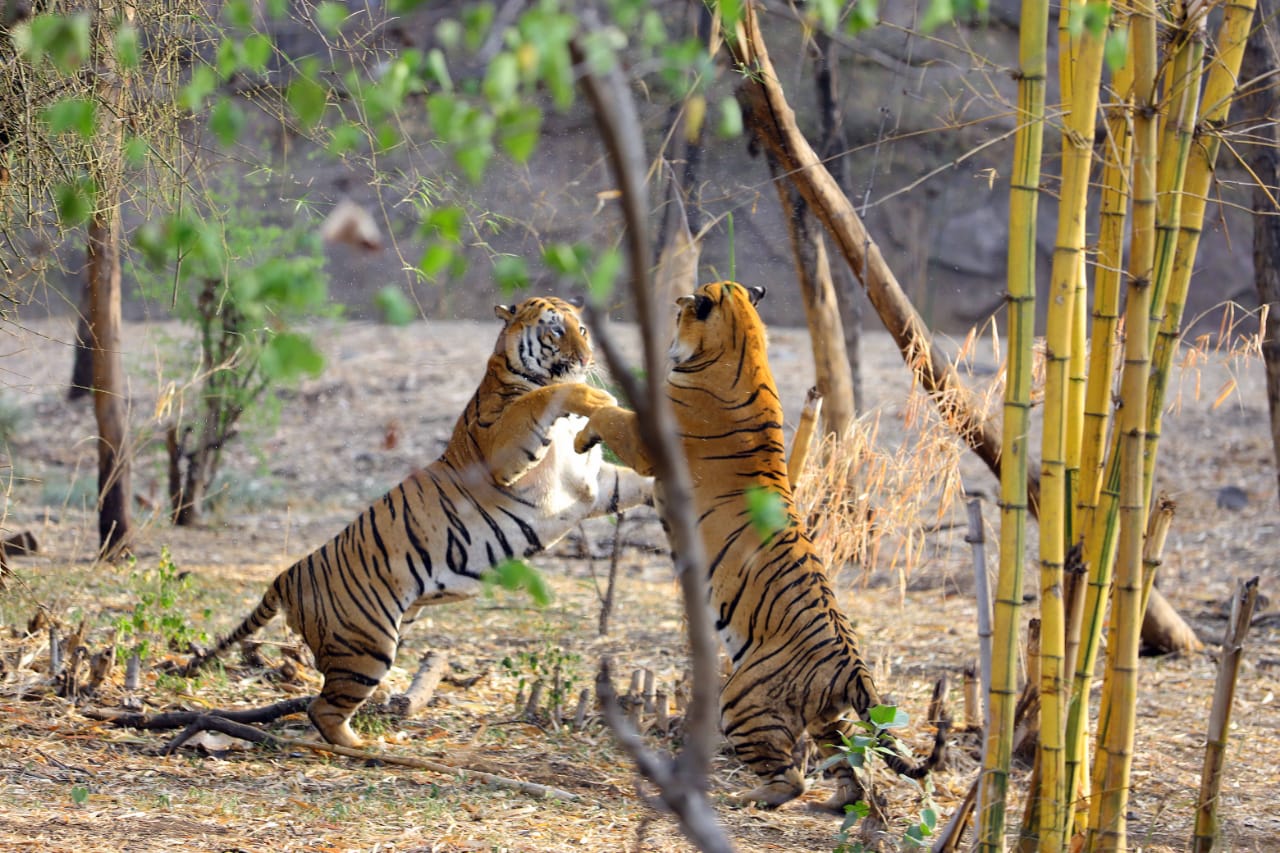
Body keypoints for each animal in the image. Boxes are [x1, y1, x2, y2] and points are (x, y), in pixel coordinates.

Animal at [180, 295, 650, 747]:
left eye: (583, 329)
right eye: (555, 330)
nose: (588, 357)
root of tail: (287, 573)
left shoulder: (592, 486)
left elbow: (634, 483)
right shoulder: (500, 449)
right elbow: (543, 397)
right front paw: (596, 397)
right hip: (366, 645)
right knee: (323, 709)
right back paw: (369, 747)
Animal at [576, 280, 947, 809]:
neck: (743, 342)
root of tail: (854, 667)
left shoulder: (648, 439)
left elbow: (607, 411)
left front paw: (583, 429)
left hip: (741, 700)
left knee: (790, 777)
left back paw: (742, 800)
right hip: (824, 718)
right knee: (845, 763)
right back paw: (837, 803)